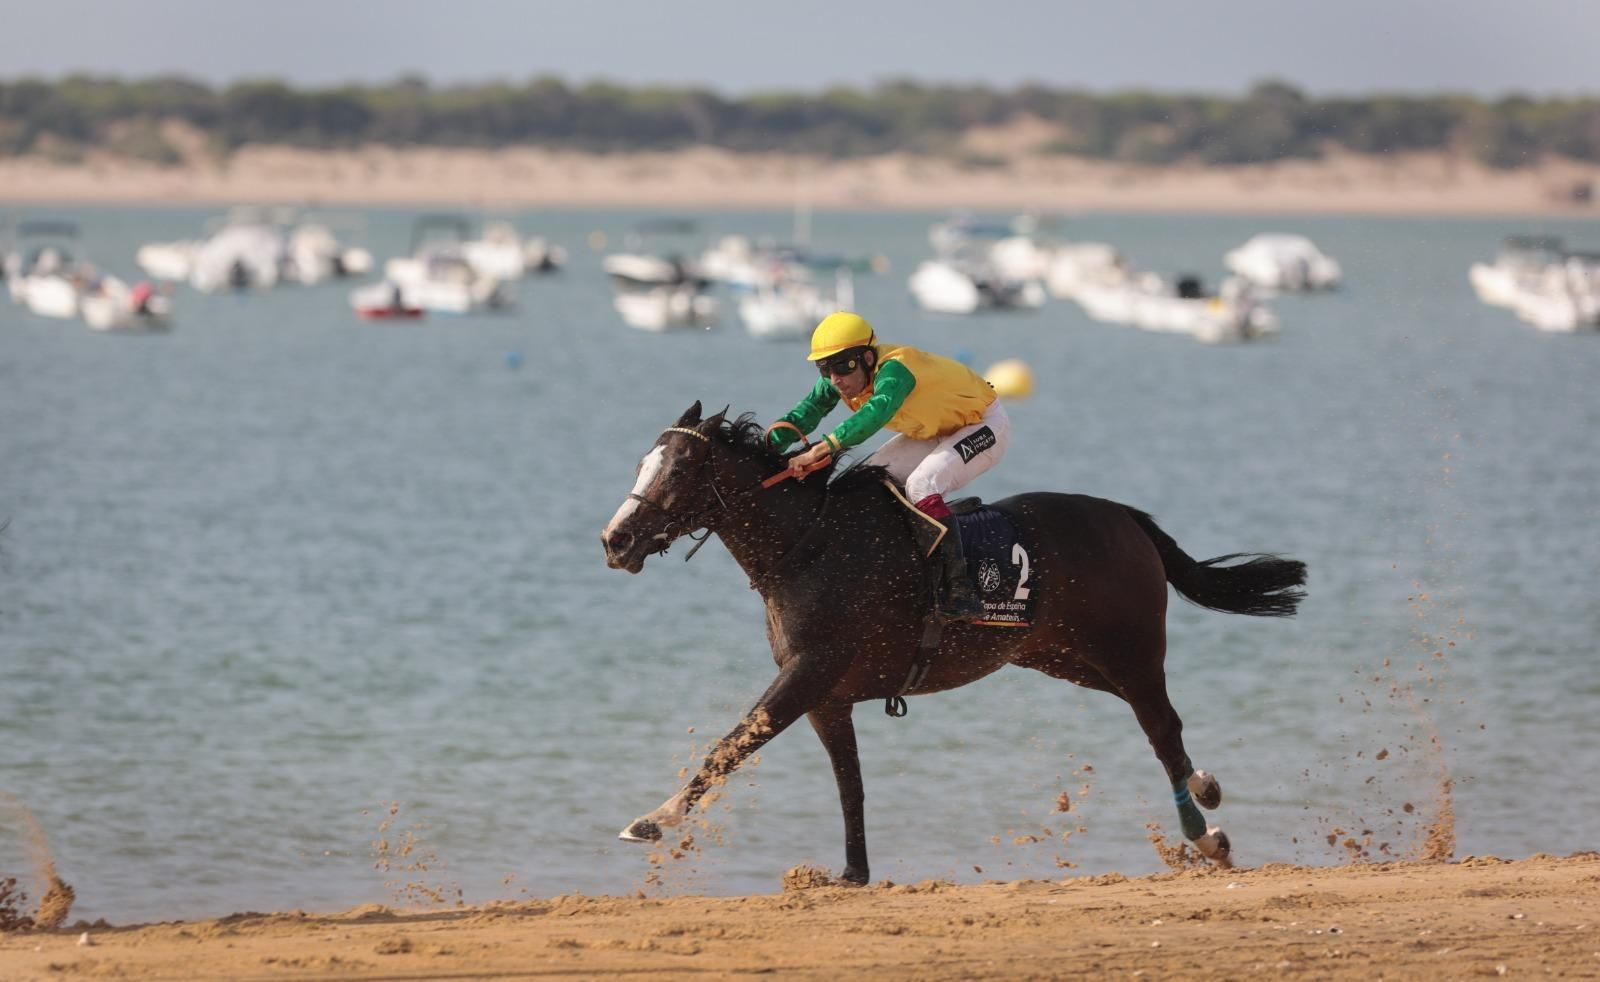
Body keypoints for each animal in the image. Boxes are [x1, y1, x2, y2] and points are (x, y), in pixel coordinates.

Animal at [601, 402, 1306, 883]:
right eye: (641, 463)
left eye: (678, 470)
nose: (616, 540)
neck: (810, 544)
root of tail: (1127, 517)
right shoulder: (828, 697)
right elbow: (849, 784)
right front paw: (853, 874)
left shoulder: (809, 672)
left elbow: (732, 744)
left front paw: (653, 819)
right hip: (1060, 655)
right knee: (1162, 722)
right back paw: (1207, 789)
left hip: (1127, 651)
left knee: (1160, 727)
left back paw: (1204, 835)